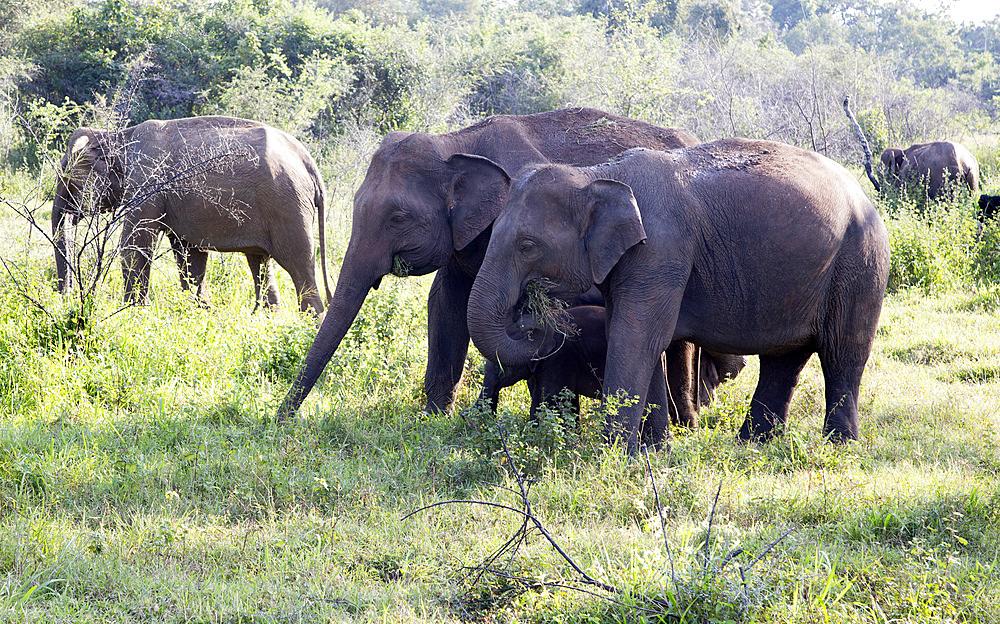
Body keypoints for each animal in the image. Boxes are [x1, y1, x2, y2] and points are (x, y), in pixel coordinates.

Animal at [53, 115, 332, 314]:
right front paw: (202, 310)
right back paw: (267, 317)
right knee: (260, 261)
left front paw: (134, 313)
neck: (118, 136)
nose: (66, 297)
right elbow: (190, 253)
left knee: (297, 262)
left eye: (67, 178)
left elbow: (135, 244)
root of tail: (310, 164)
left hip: (287, 205)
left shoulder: (147, 180)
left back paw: (309, 320)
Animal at [270, 107, 700, 432]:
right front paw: (434, 421)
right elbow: (445, 302)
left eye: (398, 217)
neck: (455, 144)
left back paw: (685, 425)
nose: (280, 421)